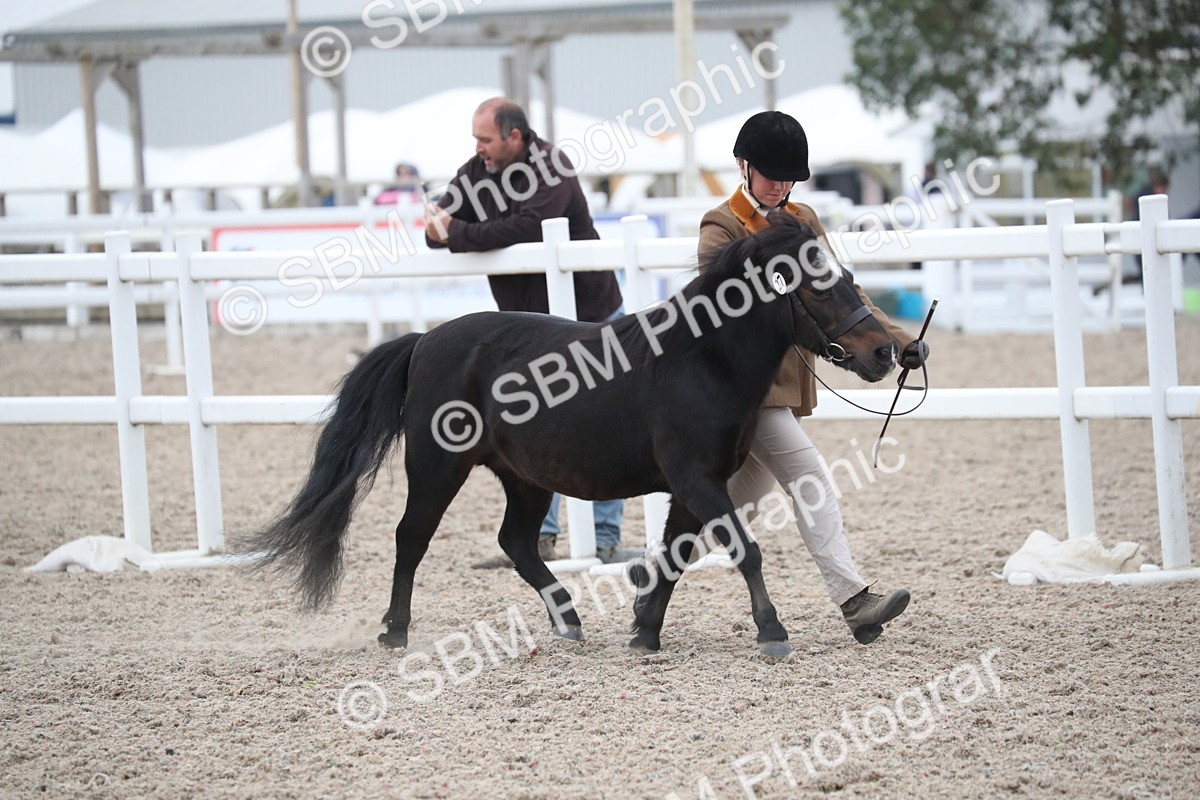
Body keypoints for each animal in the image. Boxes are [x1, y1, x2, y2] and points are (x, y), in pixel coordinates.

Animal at [242, 210, 900, 656]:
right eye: (817, 285)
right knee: (412, 538)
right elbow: (745, 548)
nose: (887, 351)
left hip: (525, 478)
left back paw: (568, 620)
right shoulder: (696, 479)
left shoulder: (696, 486)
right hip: (437, 467)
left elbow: (677, 556)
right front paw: (771, 631)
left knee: (515, 542)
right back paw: (395, 632)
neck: (699, 358)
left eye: (845, 275)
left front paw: (644, 631)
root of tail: (425, 340)